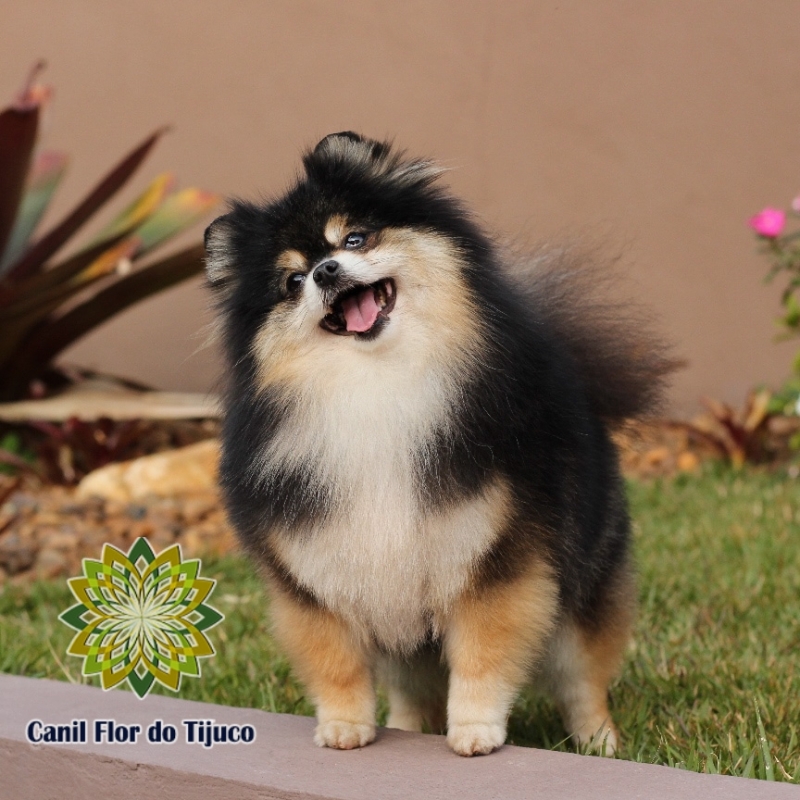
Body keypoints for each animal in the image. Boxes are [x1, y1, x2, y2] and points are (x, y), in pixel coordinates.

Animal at [205, 131, 668, 756]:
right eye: (292, 282)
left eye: (355, 238)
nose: (326, 270)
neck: (376, 387)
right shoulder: (317, 577)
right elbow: (337, 663)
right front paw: (344, 727)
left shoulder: (494, 560)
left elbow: (482, 657)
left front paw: (475, 731)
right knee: (410, 685)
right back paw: (403, 727)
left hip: (580, 587)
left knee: (582, 678)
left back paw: (600, 741)